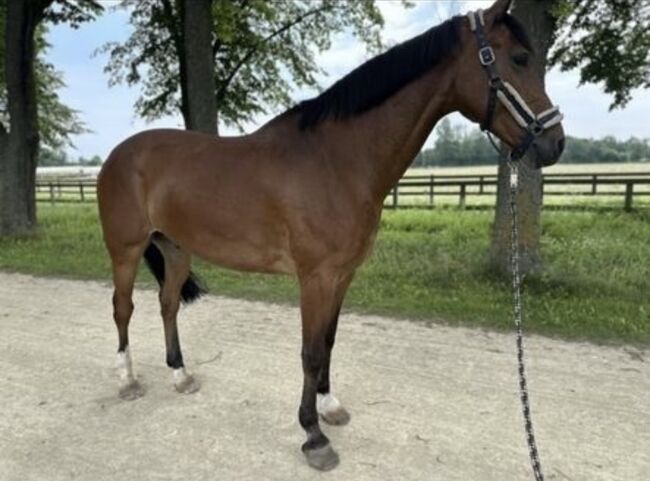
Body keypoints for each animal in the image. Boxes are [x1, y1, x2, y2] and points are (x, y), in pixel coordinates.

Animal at [96, 0, 560, 470]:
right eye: (520, 59)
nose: (554, 143)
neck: (338, 162)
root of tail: (118, 154)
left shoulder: (342, 275)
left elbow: (329, 342)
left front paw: (330, 406)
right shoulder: (315, 278)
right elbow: (311, 352)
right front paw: (313, 436)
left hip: (176, 249)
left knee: (168, 304)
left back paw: (180, 374)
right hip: (126, 250)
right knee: (123, 308)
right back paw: (126, 380)